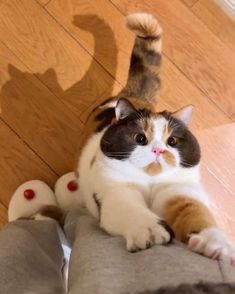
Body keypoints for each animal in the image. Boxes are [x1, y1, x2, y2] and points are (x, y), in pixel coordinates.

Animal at [76, 12, 234, 262]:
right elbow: (131, 211)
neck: (150, 181)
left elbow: (196, 214)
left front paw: (215, 244)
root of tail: (136, 96)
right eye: (140, 138)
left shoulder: (180, 193)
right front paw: (150, 231)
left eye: (172, 141)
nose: (158, 150)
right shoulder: (116, 191)